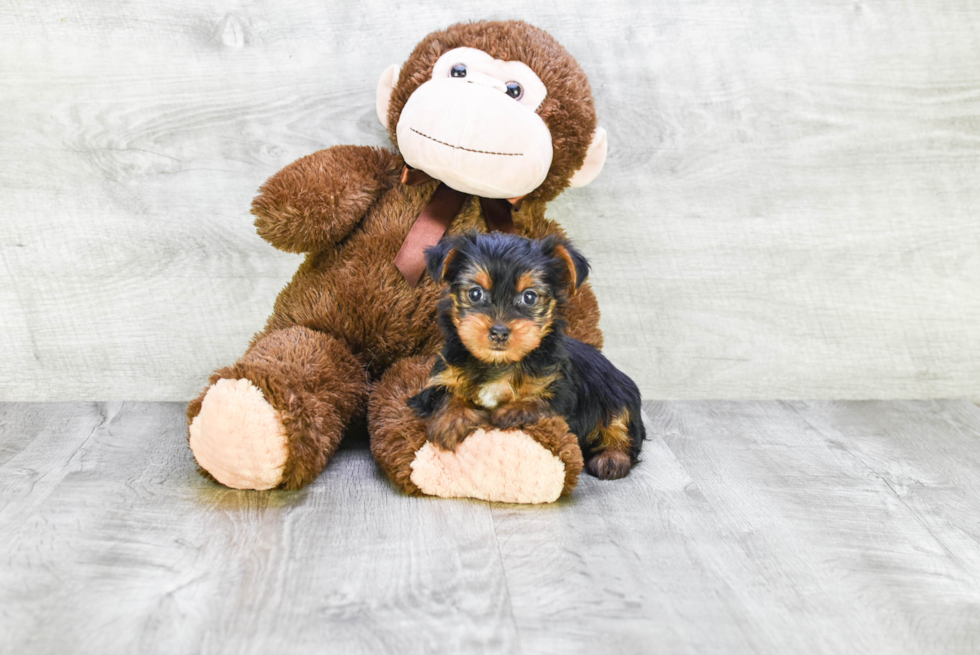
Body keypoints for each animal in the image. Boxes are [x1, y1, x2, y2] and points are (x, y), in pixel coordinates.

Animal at [406, 233, 644, 480]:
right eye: (475, 293)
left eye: (529, 297)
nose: (499, 332)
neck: (499, 363)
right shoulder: (438, 380)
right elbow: (445, 394)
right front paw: (452, 419)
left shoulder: (562, 390)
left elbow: (543, 401)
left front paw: (512, 411)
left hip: (619, 396)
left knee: (621, 428)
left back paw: (612, 458)